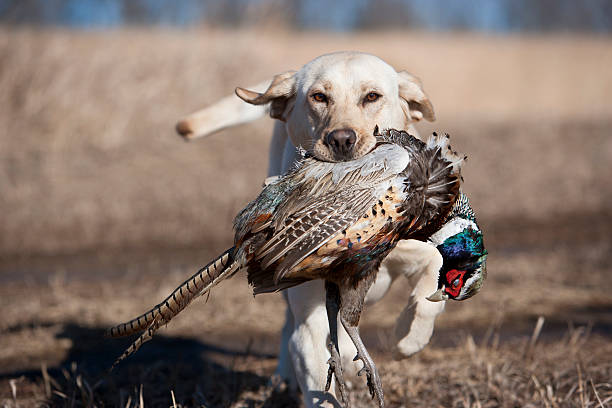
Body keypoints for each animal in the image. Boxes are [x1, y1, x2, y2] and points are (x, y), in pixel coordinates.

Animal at [177, 52, 444, 406]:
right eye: (319, 97)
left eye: (372, 96)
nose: (342, 139)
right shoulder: (309, 320)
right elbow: (320, 372)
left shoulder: (416, 247)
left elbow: (433, 279)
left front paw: (406, 339)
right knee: (291, 330)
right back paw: (287, 377)